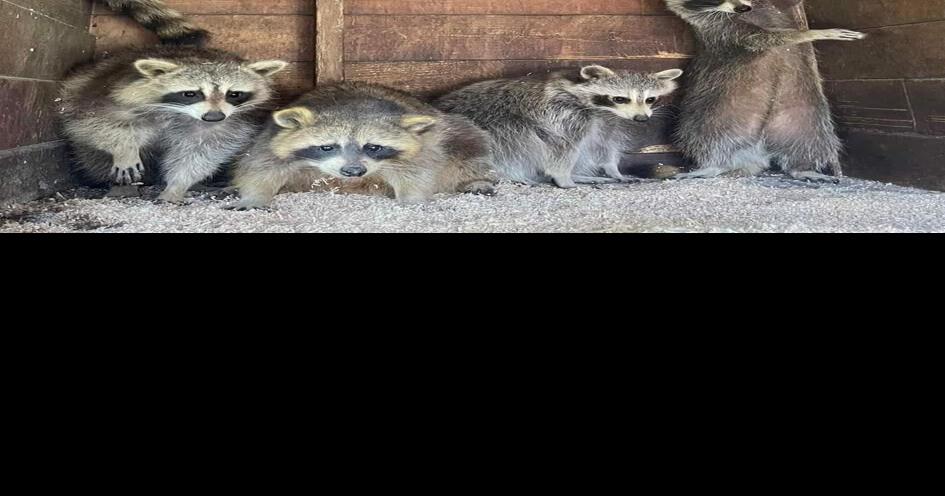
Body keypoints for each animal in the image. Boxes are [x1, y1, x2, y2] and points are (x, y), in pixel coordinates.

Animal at [60, 2, 288, 202]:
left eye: (233, 94)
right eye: (191, 94)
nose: (214, 117)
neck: (179, 113)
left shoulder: (226, 125)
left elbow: (200, 153)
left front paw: (177, 186)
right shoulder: (105, 93)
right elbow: (98, 123)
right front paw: (124, 148)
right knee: (94, 159)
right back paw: (118, 186)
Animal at [231, 82, 498, 210]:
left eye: (373, 147)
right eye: (328, 147)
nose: (353, 171)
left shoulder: (423, 147)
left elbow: (419, 171)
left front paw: (413, 197)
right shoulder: (271, 139)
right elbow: (260, 167)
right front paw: (254, 196)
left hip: (453, 131)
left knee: (469, 144)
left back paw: (475, 179)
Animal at [435, 66, 683, 188]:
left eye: (650, 99)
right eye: (620, 98)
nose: (642, 119)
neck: (602, 110)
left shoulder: (608, 124)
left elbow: (604, 147)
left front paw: (613, 169)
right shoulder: (563, 116)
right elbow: (560, 148)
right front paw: (564, 178)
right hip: (489, 125)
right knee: (517, 140)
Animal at [665, 0, 866, 182]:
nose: (742, 7)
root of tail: (756, 153)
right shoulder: (719, 27)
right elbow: (758, 38)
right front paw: (809, 33)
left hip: (802, 110)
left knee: (811, 138)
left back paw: (801, 168)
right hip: (715, 111)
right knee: (705, 135)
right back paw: (713, 165)